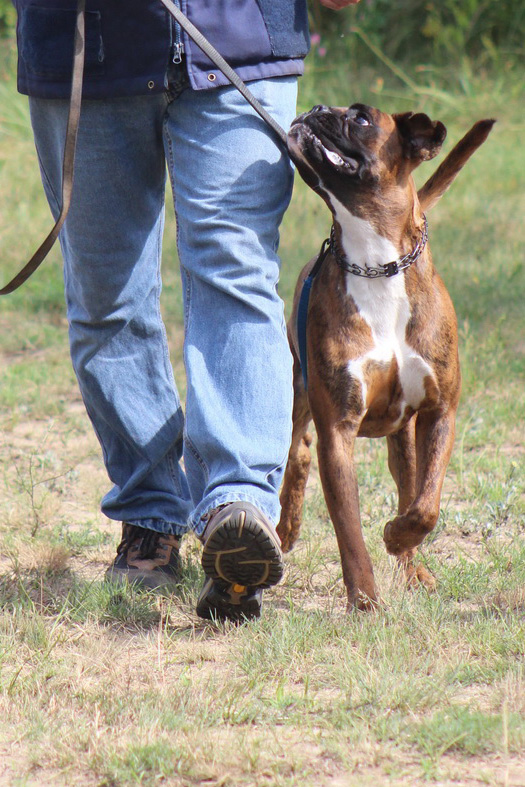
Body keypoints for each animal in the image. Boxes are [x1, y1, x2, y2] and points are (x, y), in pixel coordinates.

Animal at [276, 103, 494, 608]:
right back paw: (285, 529)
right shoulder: (337, 431)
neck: (376, 263)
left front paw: (398, 538)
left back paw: (412, 566)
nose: (315, 109)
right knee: (297, 453)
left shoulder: (439, 412)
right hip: (300, 392)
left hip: (404, 438)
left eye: (360, 118)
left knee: (409, 487)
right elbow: (349, 532)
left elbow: (425, 506)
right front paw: (365, 601)